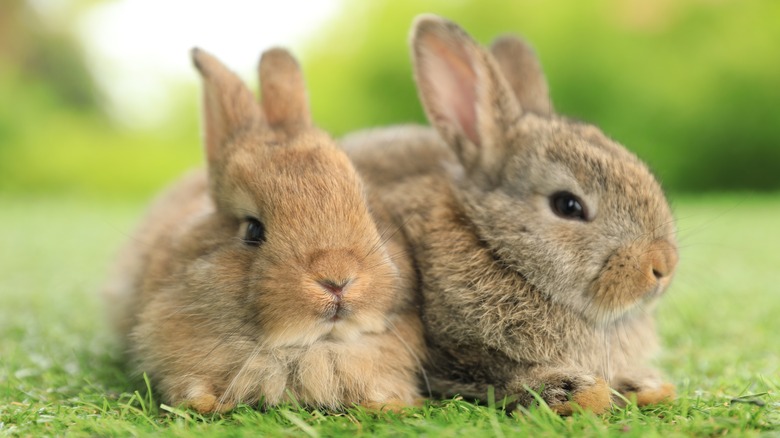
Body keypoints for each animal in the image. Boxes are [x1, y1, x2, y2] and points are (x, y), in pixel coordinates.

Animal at [103, 48, 426, 414]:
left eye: (368, 209)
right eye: (252, 230)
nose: (337, 280)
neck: (308, 348)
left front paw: (390, 404)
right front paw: (205, 403)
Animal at [342, 15, 676, 414]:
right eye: (567, 205)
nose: (663, 266)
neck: (493, 247)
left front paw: (645, 384)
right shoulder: (444, 352)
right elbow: (495, 375)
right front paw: (573, 389)